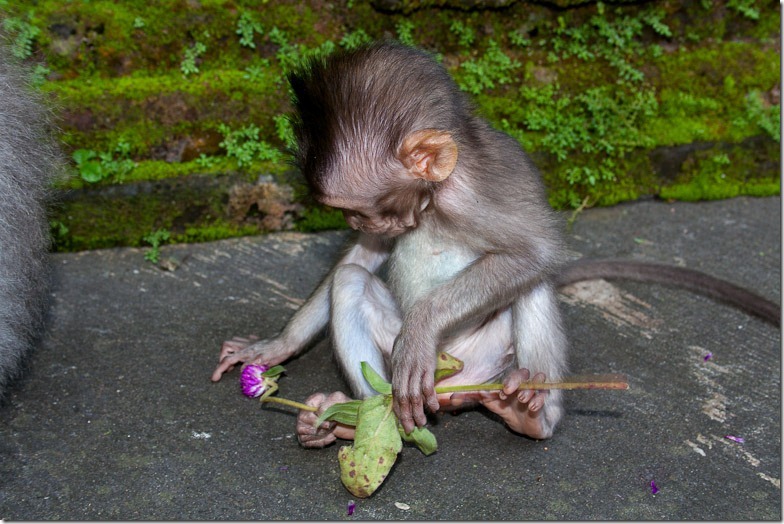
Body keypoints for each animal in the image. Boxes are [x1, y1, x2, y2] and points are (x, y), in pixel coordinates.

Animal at [211, 41, 780, 444]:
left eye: (362, 208)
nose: (363, 221)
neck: (436, 198)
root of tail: (454, 388)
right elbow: (361, 257)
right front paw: (275, 345)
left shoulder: (472, 195)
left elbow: (534, 254)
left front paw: (421, 327)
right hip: (409, 371)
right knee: (350, 281)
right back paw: (355, 420)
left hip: (481, 360)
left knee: (532, 284)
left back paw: (533, 416)